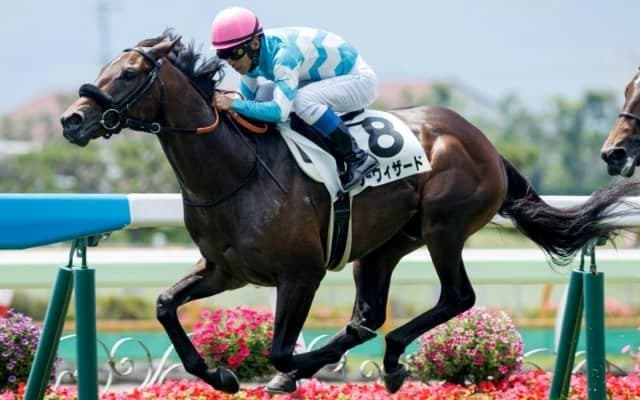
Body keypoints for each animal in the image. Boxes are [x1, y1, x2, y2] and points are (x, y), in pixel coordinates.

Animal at [60, 31, 638, 394]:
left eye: (128, 73)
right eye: (103, 69)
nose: (71, 119)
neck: (236, 172)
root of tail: (484, 143)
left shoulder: (301, 273)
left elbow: (280, 349)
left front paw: (282, 372)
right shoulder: (225, 270)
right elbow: (164, 305)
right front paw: (219, 375)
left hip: (444, 227)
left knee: (455, 297)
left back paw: (383, 360)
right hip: (383, 246)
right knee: (369, 317)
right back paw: (387, 361)